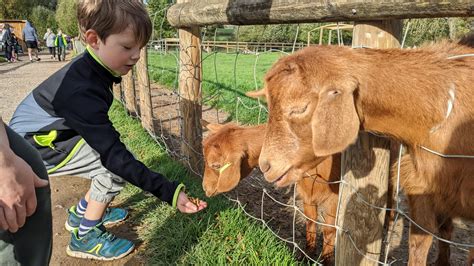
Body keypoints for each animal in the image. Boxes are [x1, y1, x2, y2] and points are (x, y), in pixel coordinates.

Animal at [200, 122, 340, 262]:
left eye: (216, 165)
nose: (205, 188)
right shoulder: (308, 193)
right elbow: (310, 222)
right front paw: (307, 256)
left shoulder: (334, 198)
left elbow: (329, 230)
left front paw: (326, 260)